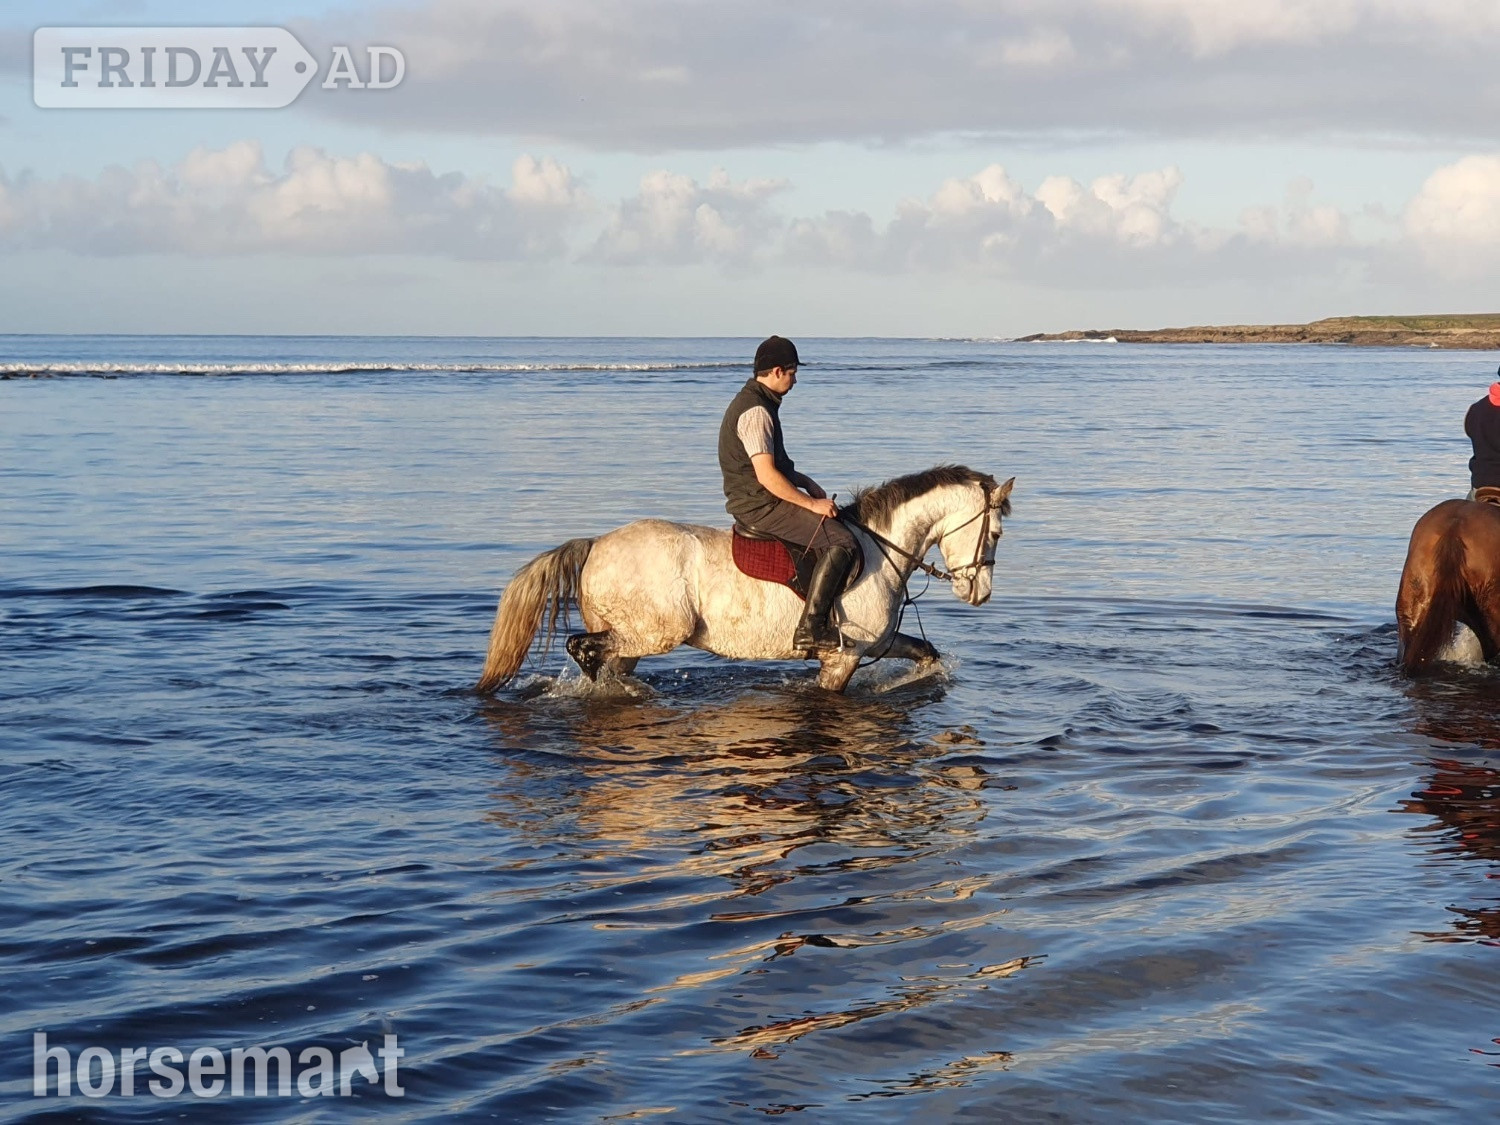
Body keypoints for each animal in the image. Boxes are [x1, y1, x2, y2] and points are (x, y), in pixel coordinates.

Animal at [477, 465, 1015, 694]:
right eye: (997, 532)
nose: (980, 593)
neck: (878, 548)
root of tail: (597, 543)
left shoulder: (874, 645)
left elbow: (927, 655)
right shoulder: (843, 657)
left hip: (630, 640)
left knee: (603, 660)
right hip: (651, 633)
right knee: (584, 649)